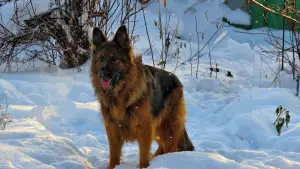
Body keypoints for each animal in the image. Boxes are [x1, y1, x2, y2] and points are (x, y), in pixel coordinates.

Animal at [90, 25, 195, 169]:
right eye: (100, 59)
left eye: (114, 59)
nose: (102, 73)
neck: (121, 94)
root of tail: (176, 79)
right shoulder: (113, 130)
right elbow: (114, 156)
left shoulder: (145, 130)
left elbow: (144, 158)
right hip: (158, 130)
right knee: (162, 148)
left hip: (167, 129)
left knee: (171, 148)